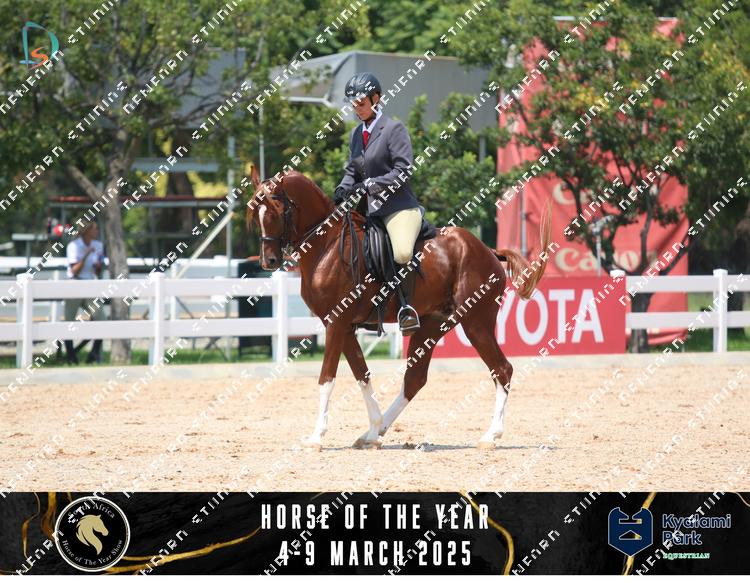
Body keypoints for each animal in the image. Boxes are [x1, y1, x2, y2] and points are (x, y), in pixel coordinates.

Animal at [246, 166, 552, 451]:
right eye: (255, 213)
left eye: (277, 210)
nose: (268, 261)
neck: (327, 246)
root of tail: (488, 251)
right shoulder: (344, 327)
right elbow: (362, 376)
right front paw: (373, 427)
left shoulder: (336, 322)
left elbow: (327, 378)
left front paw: (316, 437)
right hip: (432, 325)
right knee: (415, 379)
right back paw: (373, 435)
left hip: (476, 323)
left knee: (502, 369)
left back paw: (491, 435)